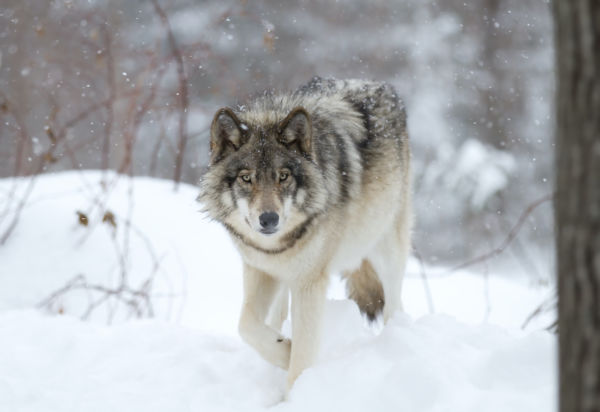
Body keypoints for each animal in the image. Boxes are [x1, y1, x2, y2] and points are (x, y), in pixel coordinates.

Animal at [197, 76, 412, 390]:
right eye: (246, 178)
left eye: (283, 176)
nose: (269, 219)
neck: (276, 247)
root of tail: (374, 82)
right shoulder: (259, 268)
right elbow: (246, 324)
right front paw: (283, 350)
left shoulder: (309, 283)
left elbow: (301, 357)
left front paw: (294, 390)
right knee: (275, 314)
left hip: (386, 247)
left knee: (395, 304)